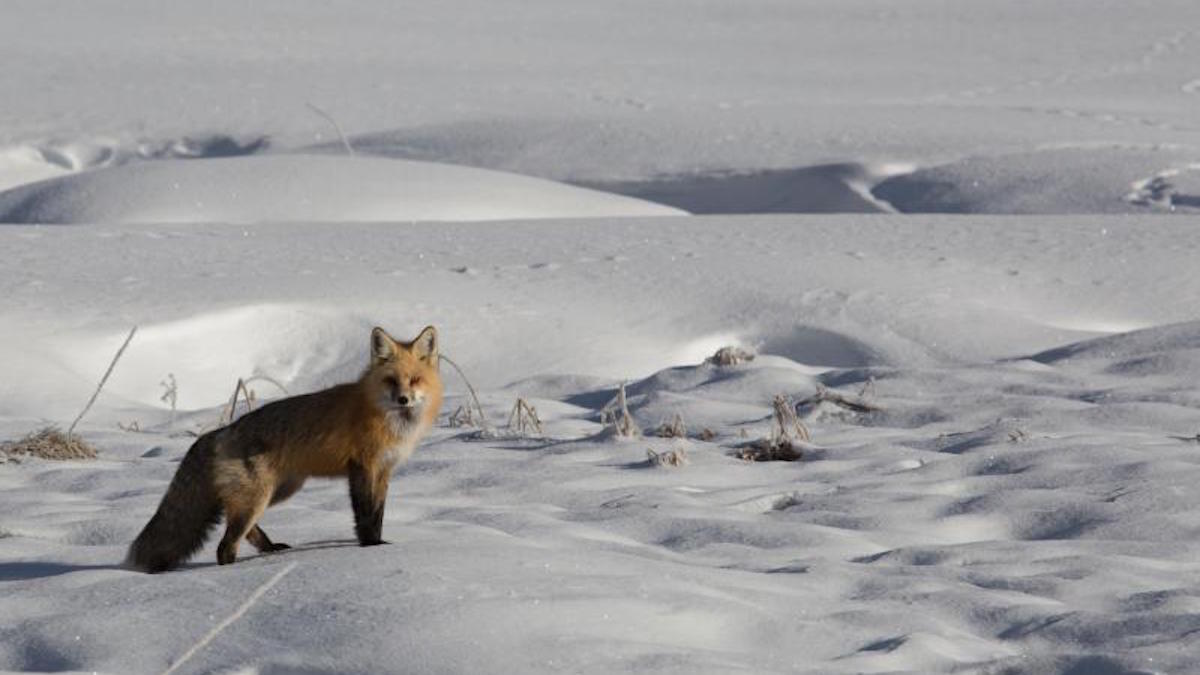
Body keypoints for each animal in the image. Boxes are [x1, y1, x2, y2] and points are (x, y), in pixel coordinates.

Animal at [126, 325, 443, 573]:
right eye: (391, 380)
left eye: (415, 380)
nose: (403, 399)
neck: (388, 419)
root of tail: (221, 431)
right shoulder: (362, 468)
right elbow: (365, 516)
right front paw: (371, 547)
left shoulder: (384, 471)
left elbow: (377, 514)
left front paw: (378, 546)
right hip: (260, 497)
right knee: (224, 546)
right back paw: (234, 571)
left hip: (276, 492)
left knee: (238, 524)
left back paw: (268, 549)